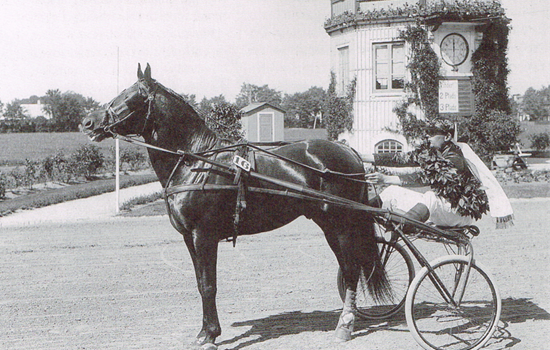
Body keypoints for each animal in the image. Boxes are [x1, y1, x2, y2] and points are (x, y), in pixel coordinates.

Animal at [82, 64, 390, 348]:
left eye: (128, 96)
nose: (87, 122)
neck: (197, 162)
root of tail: (348, 151)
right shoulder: (189, 238)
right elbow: (200, 283)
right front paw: (204, 331)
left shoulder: (204, 236)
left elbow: (209, 285)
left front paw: (210, 335)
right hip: (331, 225)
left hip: (340, 225)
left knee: (351, 269)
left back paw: (345, 325)